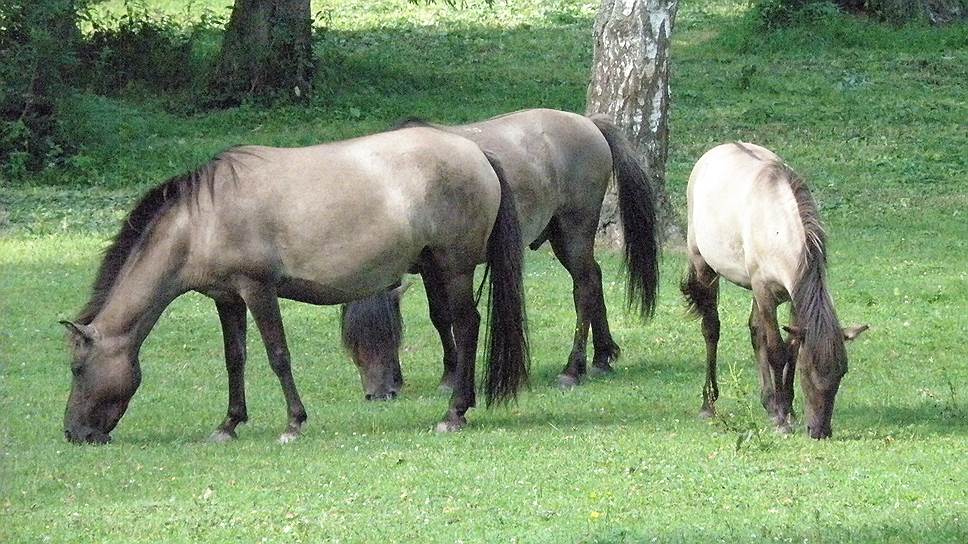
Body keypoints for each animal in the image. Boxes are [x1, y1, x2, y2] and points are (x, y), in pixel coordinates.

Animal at [59, 125, 528, 444]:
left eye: (77, 368)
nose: (74, 433)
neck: (202, 221)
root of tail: (477, 153)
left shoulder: (257, 290)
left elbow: (278, 356)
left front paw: (293, 423)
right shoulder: (227, 298)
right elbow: (235, 358)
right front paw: (229, 423)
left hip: (454, 267)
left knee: (467, 325)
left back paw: (455, 412)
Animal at [336, 108, 660, 400]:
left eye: (391, 334)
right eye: (351, 343)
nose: (379, 394)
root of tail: (589, 123)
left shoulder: (435, 267)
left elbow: (441, 316)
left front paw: (450, 377)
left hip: (574, 232)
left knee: (585, 288)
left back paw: (573, 369)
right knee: (594, 278)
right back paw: (602, 356)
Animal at [680, 142, 868, 440]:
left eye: (842, 373)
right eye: (807, 372)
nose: (820, 430)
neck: (777, 226)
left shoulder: (792, 297)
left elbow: (790, 347)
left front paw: (786, 407)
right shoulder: (764, 291)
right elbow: (776, 352)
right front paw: (782, 419)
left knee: (755, 331)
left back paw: (768, 400)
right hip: (704, 266)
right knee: (711, 329)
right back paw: (709, 403)